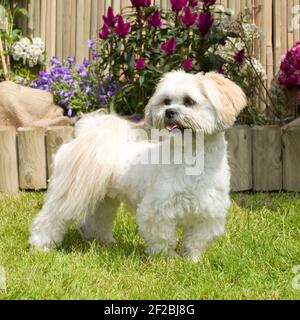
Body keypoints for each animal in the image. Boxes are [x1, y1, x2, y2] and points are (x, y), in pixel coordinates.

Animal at [28, 71, 246, 262]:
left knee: (98, 219)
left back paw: (102, 241)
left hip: (105, 199)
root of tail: (84, 136)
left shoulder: (208, 213)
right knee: (51, 217)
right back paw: (41, 245)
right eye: (166, 101)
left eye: (189, 101)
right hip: (69, 191)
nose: (169, 112)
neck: (192, 157)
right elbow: (163, 238)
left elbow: (196, 240)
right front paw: (168, 260)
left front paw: (192, 260)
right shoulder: (157, 209)